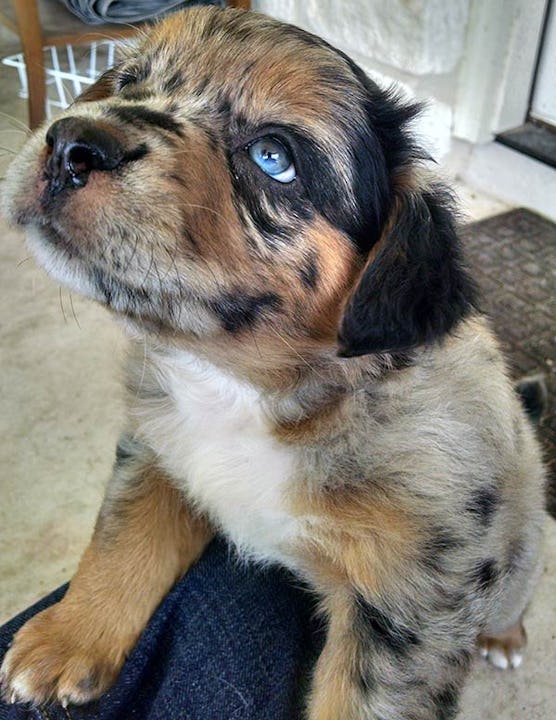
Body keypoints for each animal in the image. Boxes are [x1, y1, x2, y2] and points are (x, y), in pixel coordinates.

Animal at [0, 7, 548, 720]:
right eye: (126, 81)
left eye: (273, 156)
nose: (70, 142)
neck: (241, 390)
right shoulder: (156, 450)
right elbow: (120, 537)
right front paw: (66, 639)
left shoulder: (411, 601)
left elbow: (361, 700)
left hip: (519, 551)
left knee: (515, 593)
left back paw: (505, 636)